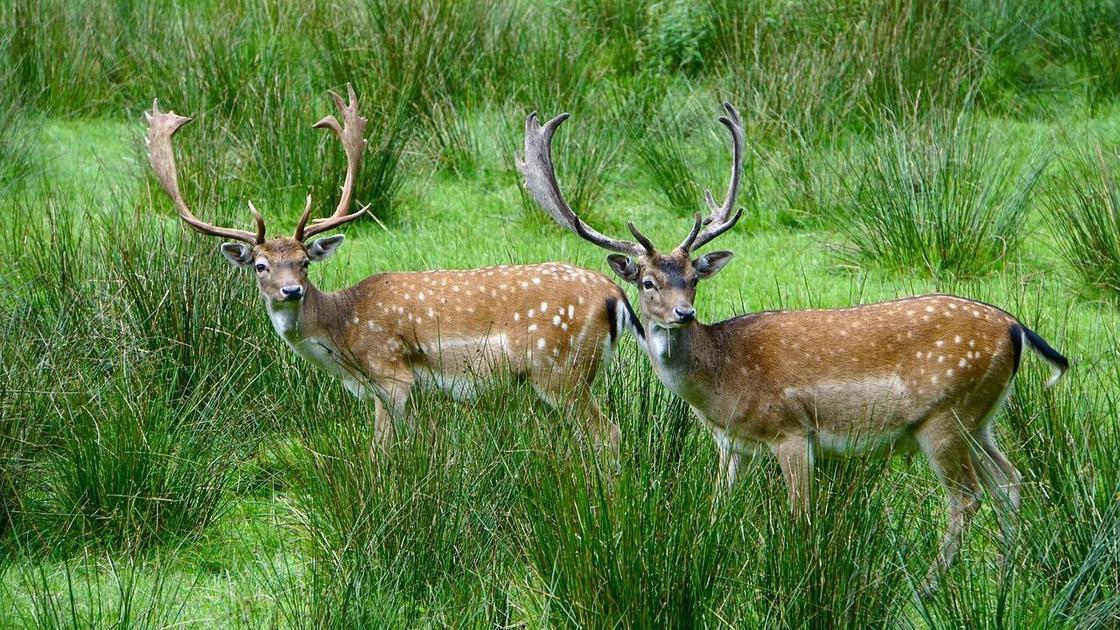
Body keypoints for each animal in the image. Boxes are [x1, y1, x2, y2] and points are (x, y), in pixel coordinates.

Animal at [147, 85, 640, 452]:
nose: (291, 292)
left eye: (304, 262)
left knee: (609, 433)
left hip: (561, 370)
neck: (343, 338)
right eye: (261, 266)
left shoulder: (391, 375)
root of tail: (615, 295)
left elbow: (382, 451)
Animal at [519, 103, 1070, 587]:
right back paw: (1005, 579)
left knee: (968, 499)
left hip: (945, 417)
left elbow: (801, 518)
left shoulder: (792, 431)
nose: (684, 314)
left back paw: (927, 588)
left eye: (694, 279)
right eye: (649, 282)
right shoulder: (733, 446)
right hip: (982, 419)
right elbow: (716, 511)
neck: (722, 384)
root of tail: (1016, 329)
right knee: (1012, 483)